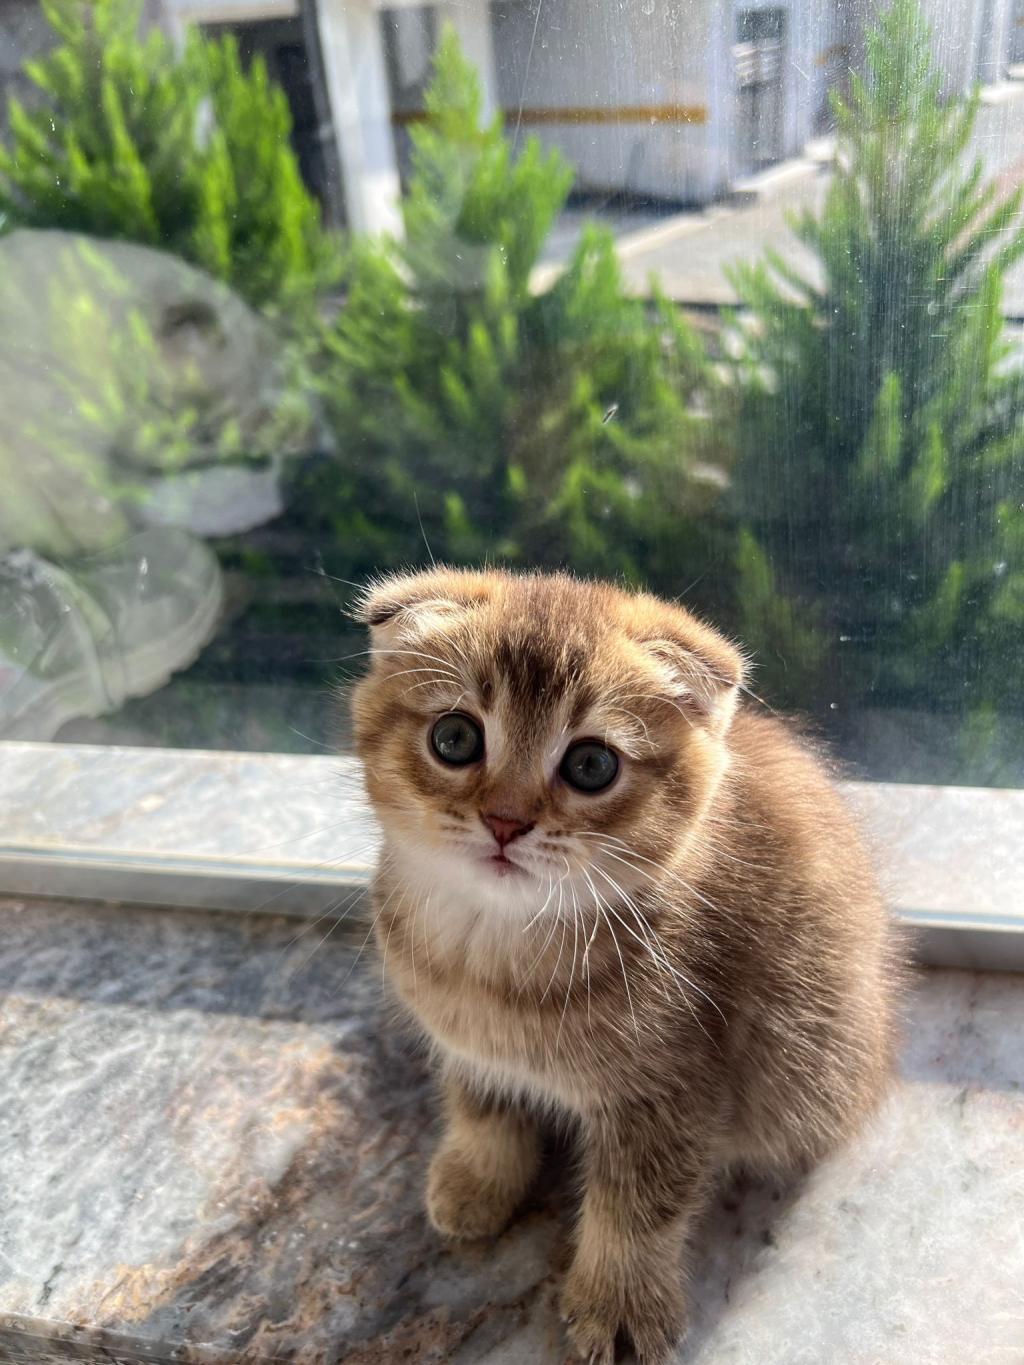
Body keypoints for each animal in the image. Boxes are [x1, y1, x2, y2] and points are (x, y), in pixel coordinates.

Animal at [351, 567, 899, 1364]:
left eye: (591, 764)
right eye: (454, 738)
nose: (506, 820)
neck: (494, 956)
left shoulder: (675, 1086)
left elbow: (637, 1208)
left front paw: (617, 1302)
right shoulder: (466, 1041)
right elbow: (481, 1103)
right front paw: (477, 1177)